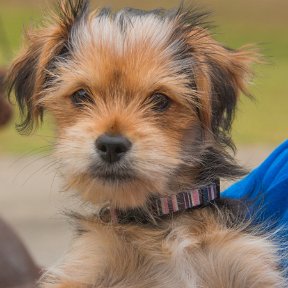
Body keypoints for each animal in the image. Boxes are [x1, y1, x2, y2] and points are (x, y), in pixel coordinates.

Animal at [6, 1, 286, 286]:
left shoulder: (246, 261)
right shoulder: (88, 263)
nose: (111, 145)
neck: (165, 221)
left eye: (160, 100)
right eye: (81, 95)